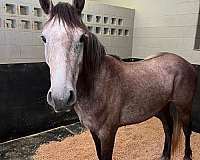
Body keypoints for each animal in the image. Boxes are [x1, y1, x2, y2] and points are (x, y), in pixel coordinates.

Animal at [38, 0, 197, 159]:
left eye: (82, 37)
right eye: (43, 38)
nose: (60, 98)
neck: (98, 85)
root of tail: (187, 64)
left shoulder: (108, 133)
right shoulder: (94, 132)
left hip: (183, 107)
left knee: (186, 130)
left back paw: (187, 155)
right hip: (161, 108)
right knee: (168, 127)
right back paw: (165, 155)